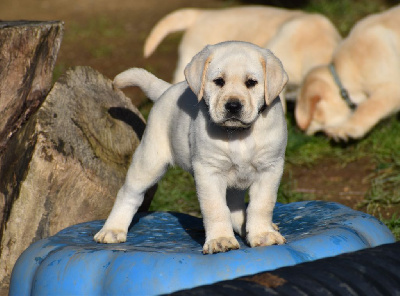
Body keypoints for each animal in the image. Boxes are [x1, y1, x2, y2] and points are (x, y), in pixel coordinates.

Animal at [95, 41, 290, 254]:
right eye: (219, 81)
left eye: (251, 83)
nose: (233, 106)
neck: (238, 134)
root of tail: (168, 89)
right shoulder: (209, 171)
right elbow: (215, 208)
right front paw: (220, 239)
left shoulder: (269, 169)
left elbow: (262, 205)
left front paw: (263, 234)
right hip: (149, 162)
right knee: (128, 194)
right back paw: (112, 230)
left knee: (235, 205)